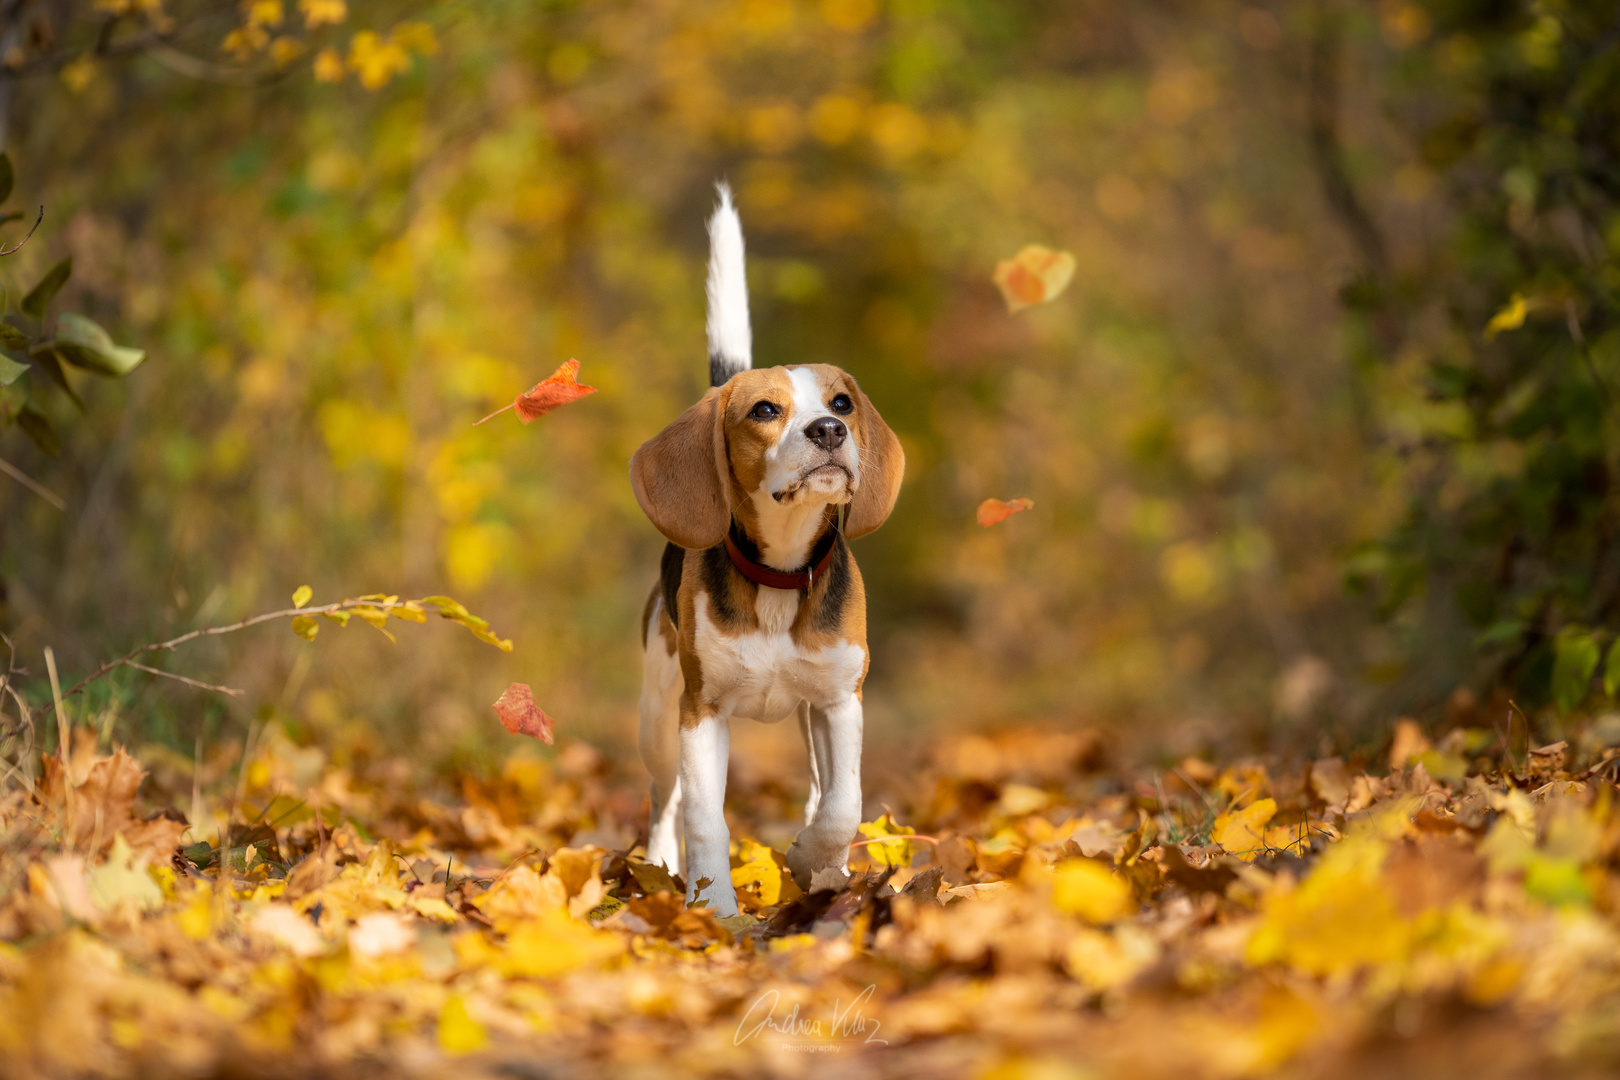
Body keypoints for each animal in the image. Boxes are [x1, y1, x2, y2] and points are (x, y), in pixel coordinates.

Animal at [628, 183, 907, 913]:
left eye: (842, 401)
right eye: (763, 411)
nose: (830, 429)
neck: (782, 574)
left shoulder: (839, 703)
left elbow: (843, 803)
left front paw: (812, 861)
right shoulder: (701, 714)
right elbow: (705, 816)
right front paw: (715, 910)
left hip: (806, 715)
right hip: (657, 710)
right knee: (663, 799)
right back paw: (658, 866)